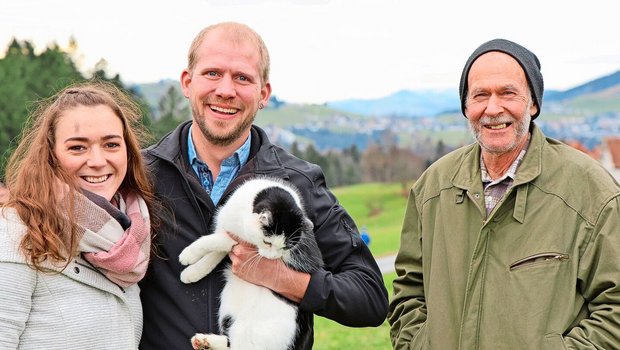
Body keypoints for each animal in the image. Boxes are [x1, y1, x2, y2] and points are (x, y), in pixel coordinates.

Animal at [178, 178, 322, 350]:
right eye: (267, 242)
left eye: (285, 247)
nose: (273, 257)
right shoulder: (229, 228)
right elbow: (214, 253)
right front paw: (192, 272)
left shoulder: (237, 242)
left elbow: (217, 240)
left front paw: (187, 254)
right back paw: (203, 341)